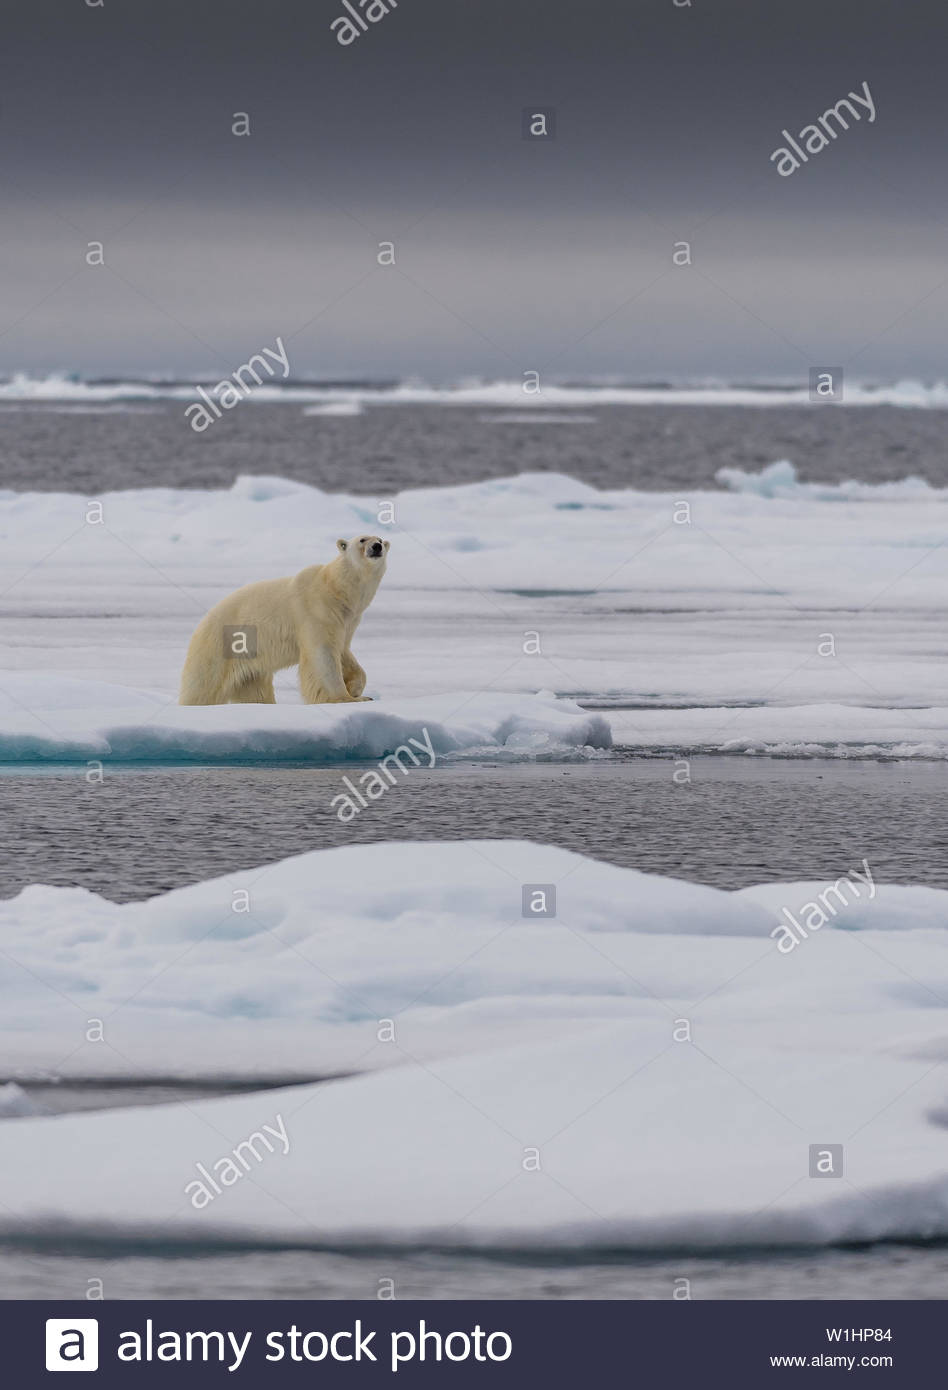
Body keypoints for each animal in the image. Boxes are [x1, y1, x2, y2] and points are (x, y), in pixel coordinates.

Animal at [177, 533, 386, 706]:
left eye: (381, 539)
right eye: (362, 539)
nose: (377, 547)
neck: (335, 588)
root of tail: (201, 625)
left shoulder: (346, 620)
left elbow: (344, 652)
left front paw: (358, 691)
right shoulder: (316, 611)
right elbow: (323, 655)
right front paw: (344, 698)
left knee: (254, 687)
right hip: (219, 647)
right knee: (202, 686)